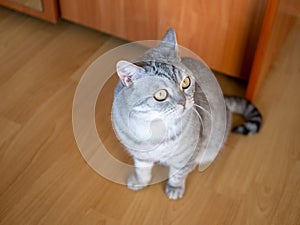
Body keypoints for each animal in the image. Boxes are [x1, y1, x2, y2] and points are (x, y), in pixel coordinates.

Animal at [110, 28, 262, 200]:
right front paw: (139, 182)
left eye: (186, 82)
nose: (183, 102)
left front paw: (174, 188)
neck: (155, 128)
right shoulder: (140, 154)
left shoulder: (187, 154)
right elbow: (141, 169)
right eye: (160, 94)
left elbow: (178, 174)